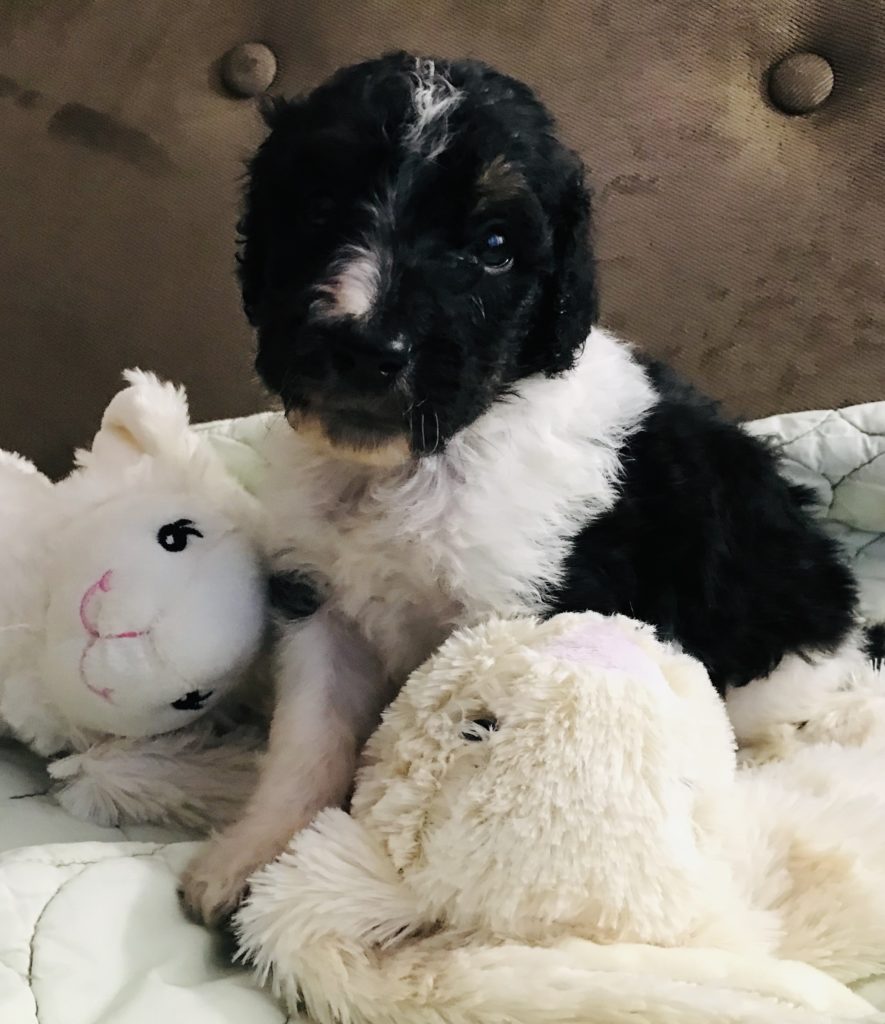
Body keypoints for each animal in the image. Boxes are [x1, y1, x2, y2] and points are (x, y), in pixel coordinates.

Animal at [180, 51, 864, 925]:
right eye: (319, 208)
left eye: (496, 247)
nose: (367, 348)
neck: (416, 466)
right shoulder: (321, 605)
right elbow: (309, 740)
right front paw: (261, 854)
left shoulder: (517, 616)